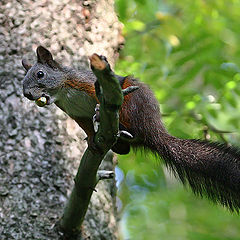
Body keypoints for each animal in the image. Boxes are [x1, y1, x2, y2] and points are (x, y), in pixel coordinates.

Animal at [23, 46, 240, 212]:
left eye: (40, 74)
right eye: (23, 81)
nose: (27, 95)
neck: (63, 92)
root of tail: (155, 132)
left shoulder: (86, 82)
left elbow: (105, 92)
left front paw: (99, 112)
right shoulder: (76, 115)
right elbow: (87, 128)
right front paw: (91, 140)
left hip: (134, 102)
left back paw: (118, 124)